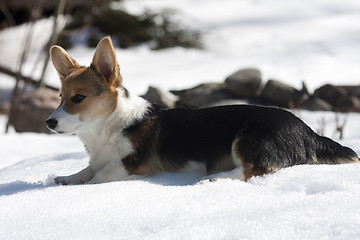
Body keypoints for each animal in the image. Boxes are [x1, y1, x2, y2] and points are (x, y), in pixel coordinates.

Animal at [47, 36, 358, 185]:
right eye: (60, 97)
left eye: (78, 98)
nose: (49, 123)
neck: (109, 125)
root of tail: (309, 132)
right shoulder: (99, 158)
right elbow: (87, 170)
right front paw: (66, 178)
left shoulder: (133, 164)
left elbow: (99, 176)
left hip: (249, 139)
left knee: (255, 170)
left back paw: (215, 178)